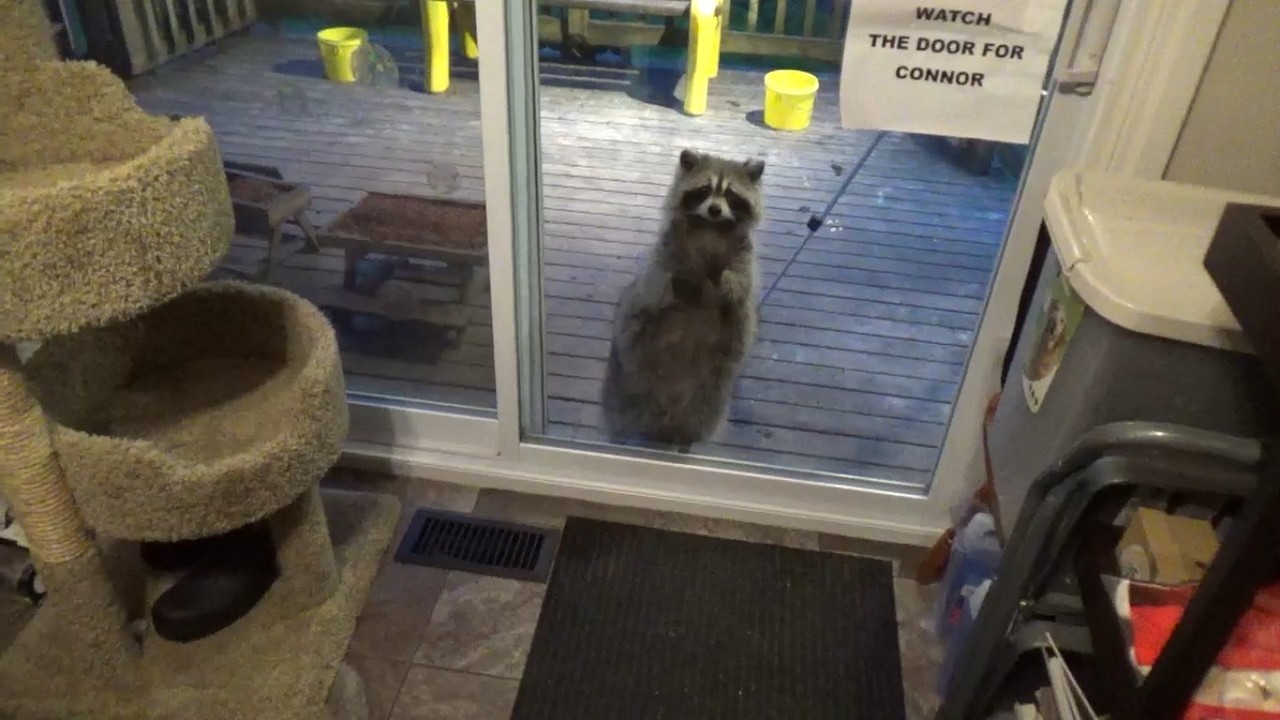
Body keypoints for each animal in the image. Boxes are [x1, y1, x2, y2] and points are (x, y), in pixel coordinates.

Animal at [600, 148, 765, 451]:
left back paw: (685, 438)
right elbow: (660, 284)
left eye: (730, 194)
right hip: (628, 382)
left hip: (711, 393)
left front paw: (723, 282)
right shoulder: (666, 255)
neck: (711, 227)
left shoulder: (744, 258)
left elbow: (739, 284)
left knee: (702, 416)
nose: (714, 209)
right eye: (705, 190)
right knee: (625, 410)